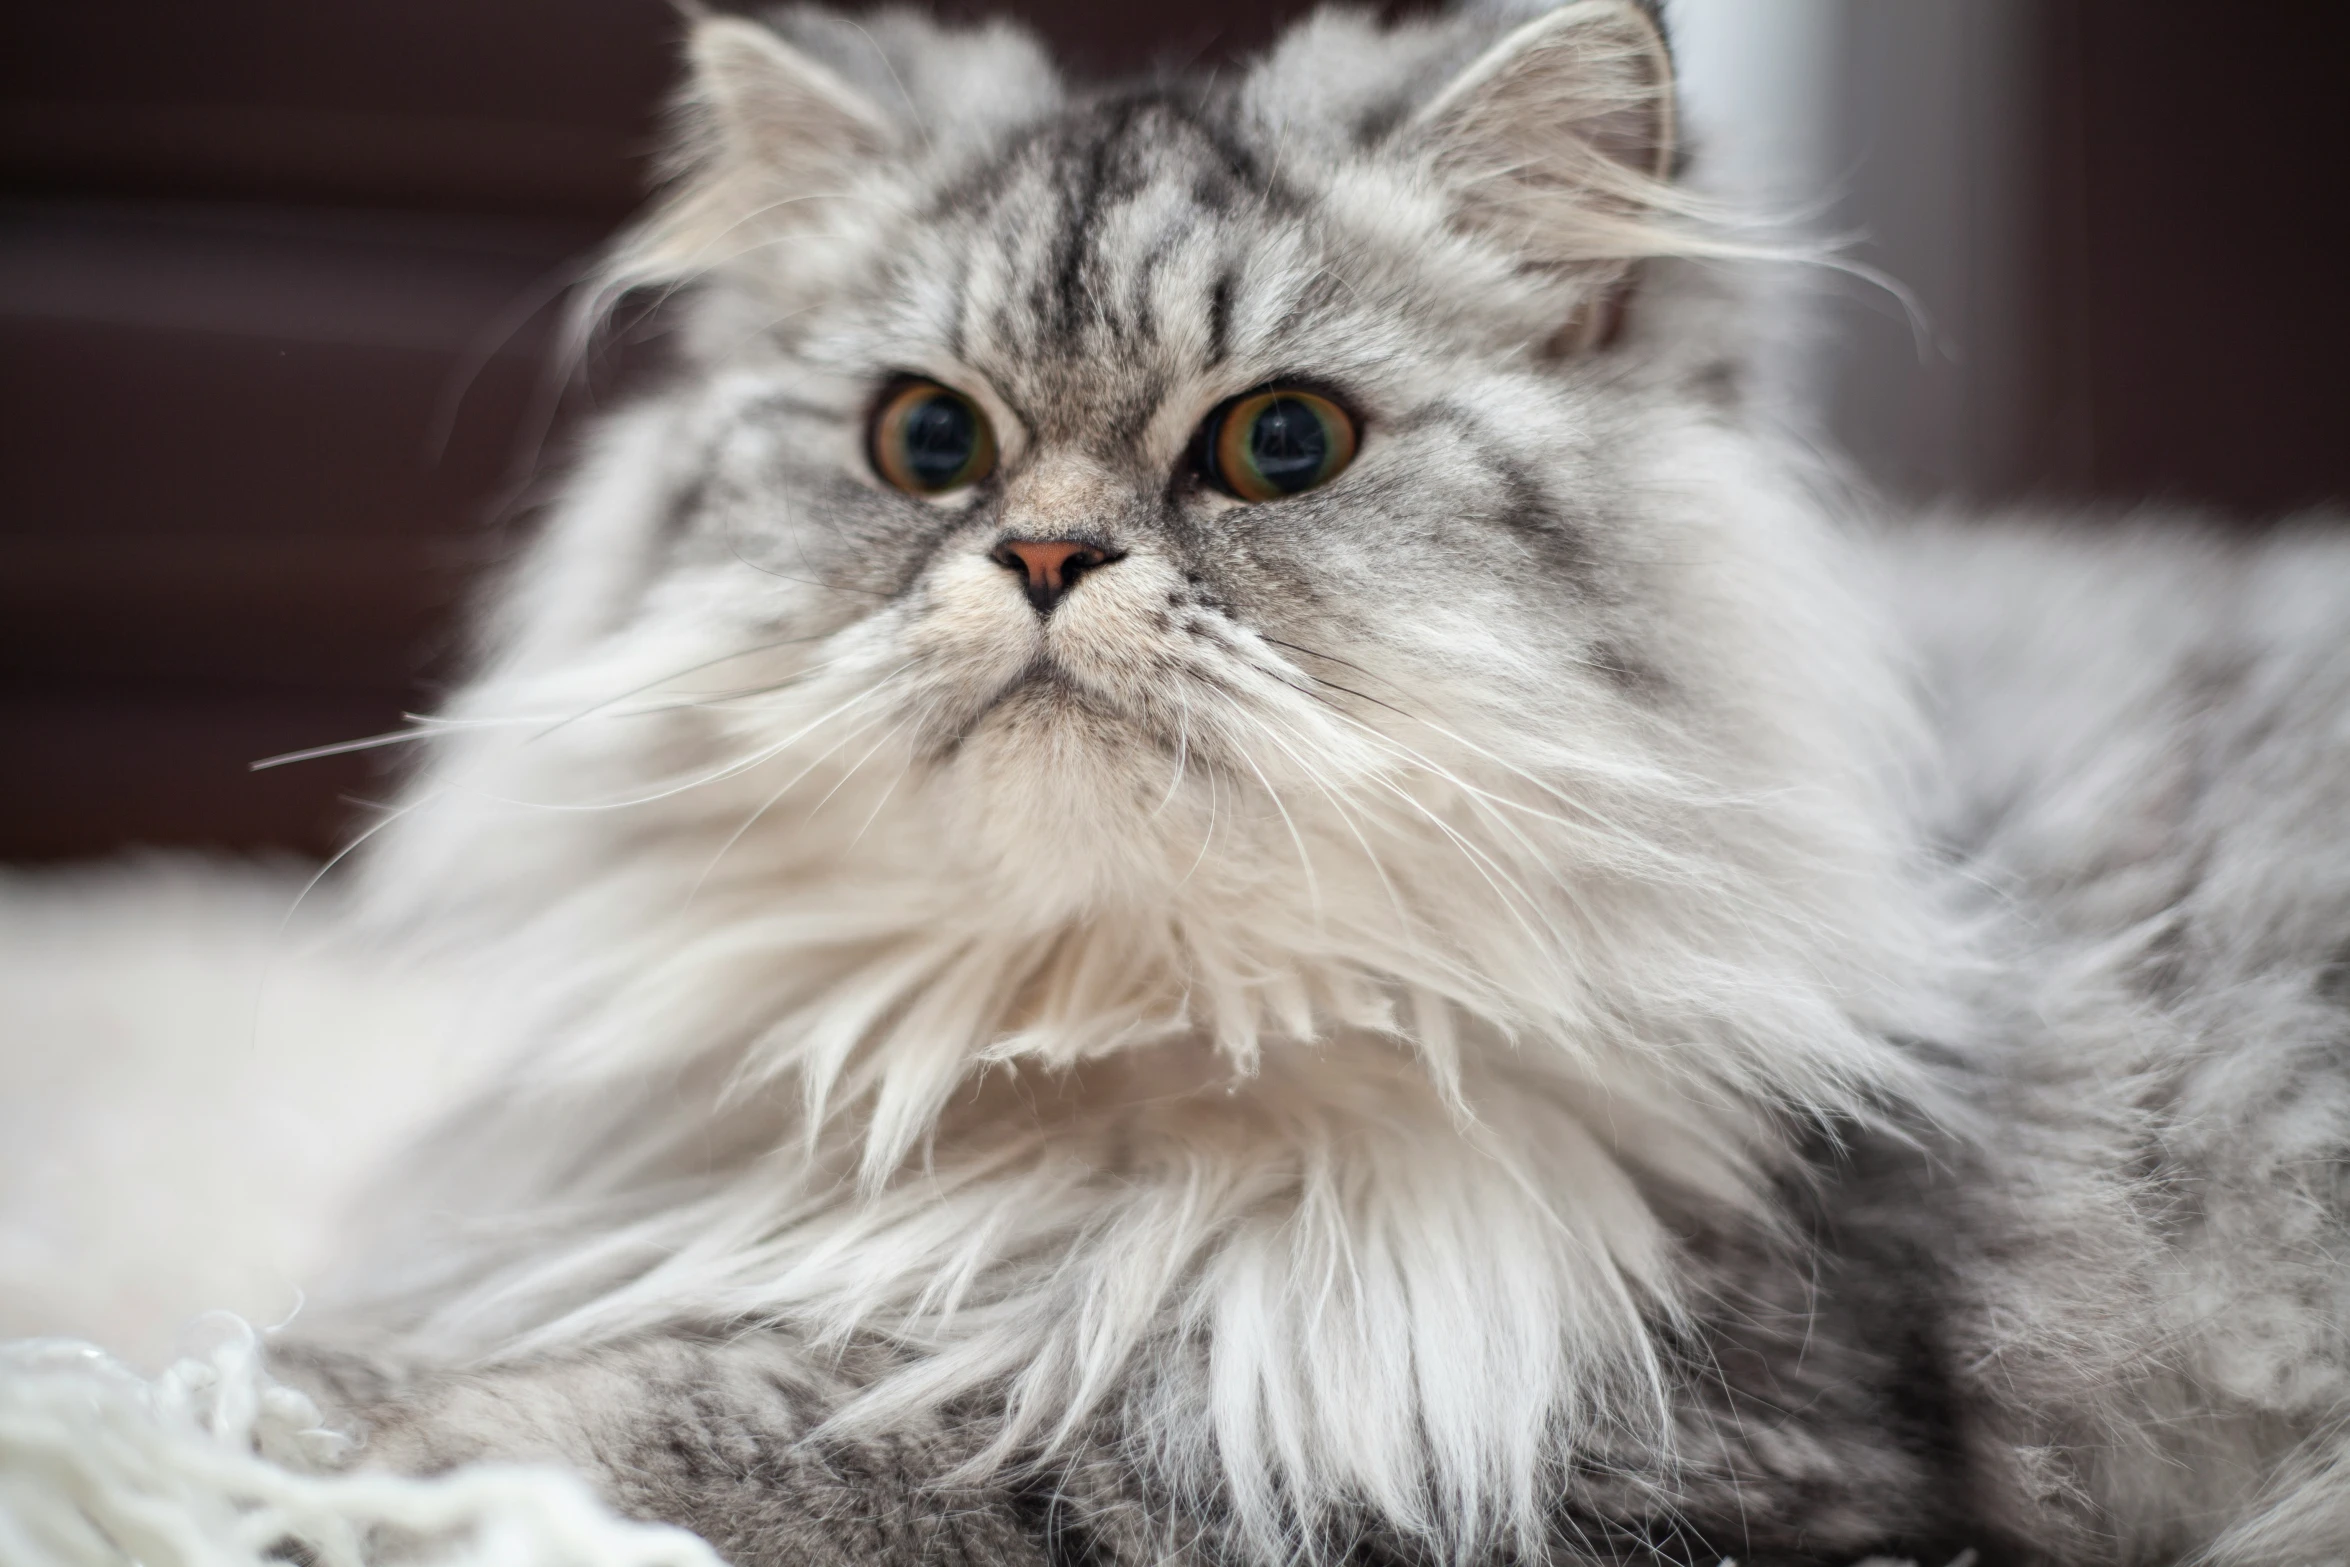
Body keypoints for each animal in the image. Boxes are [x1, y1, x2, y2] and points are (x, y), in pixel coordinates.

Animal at [262, 3, 2350, 1567]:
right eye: (929, 443)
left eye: (1280, 445)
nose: (1043, 555)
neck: (1104, 1057)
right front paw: (305, 1398)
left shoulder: (1643, 1453)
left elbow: (898, 1442)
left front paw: (373, 1460)